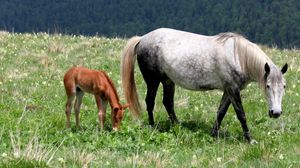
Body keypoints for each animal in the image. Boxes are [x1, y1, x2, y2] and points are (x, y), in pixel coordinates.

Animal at [121, 27, 288, 143]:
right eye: (267, 86)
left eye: (284, 86)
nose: (276, 113)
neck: (238, 56)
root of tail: (142, 39)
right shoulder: (233, 90)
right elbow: (241, 114)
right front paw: (249, 139)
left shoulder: (228, 90)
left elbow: (221, 112)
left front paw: (214, 134)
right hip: (153, 81)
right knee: (150, 102)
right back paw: (152, 126)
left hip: (168, 81)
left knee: (168, 103)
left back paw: (178, 126)